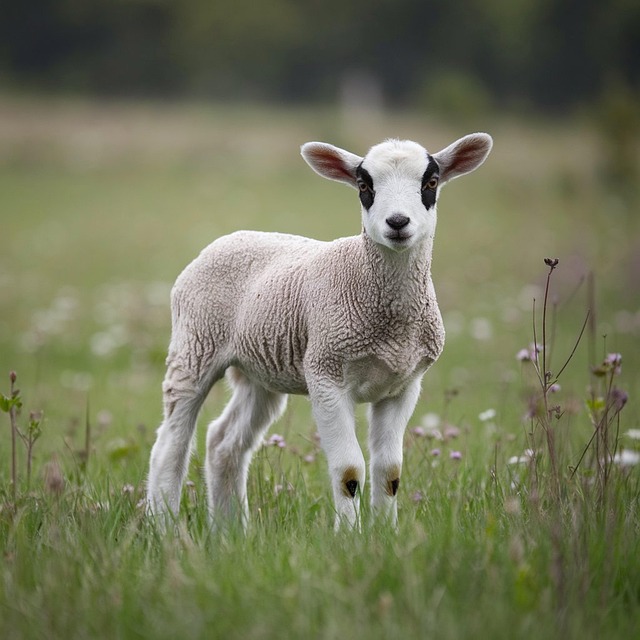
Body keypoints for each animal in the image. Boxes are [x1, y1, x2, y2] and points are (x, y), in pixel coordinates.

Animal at [146, 132, 493, 529]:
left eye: (431, 182)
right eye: (364, 185)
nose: (397, 222)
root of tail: (227, 238)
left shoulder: (404, 385)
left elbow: (389, 472)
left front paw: (387, 535)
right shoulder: (326, 374)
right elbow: (349, 472)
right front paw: (350, 535)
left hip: (259, 371)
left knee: (223, 442)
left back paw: (230, 532)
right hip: (195, 345)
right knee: (170, 443)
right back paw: (164, 526)